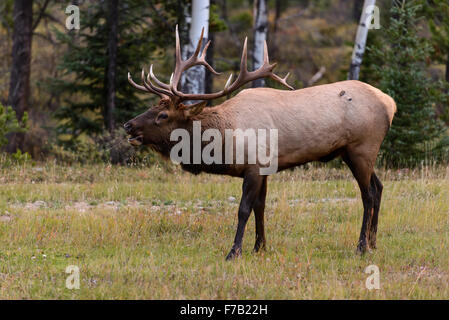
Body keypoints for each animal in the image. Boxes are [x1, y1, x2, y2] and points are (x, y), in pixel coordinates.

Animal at [124, 25, 394, 260]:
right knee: (379, 186)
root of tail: (390, 103)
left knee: (368, 194)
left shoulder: (254, 166)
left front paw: (234, 251)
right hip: (352, 153)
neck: (224, 139)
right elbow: (260, 207)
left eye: (163, 115)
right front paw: (259, 247)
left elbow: (244, 209)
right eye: (152, 107)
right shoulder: (264, 168)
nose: (128, 125)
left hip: (362, 147)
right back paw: (373, 242)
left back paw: (361, 246)